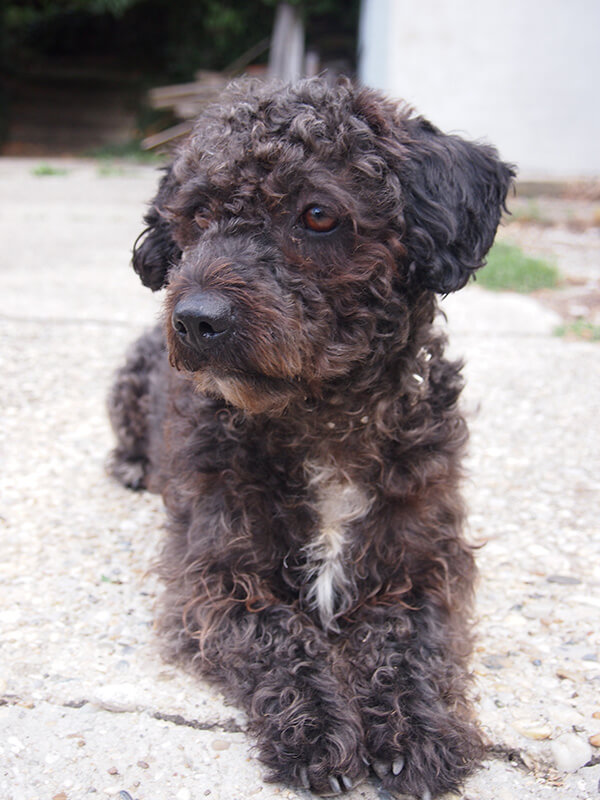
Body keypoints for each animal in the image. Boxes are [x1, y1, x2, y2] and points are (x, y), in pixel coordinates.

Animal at [108, 77, 514, 798]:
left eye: (319, 215)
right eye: (197, 214)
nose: (195, 319)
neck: (320, 417)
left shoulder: (425, 568)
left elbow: (410, 644)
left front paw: (416, 729)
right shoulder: (213, 581)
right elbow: (279, 638)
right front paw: (319, 727)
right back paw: (132, 467)